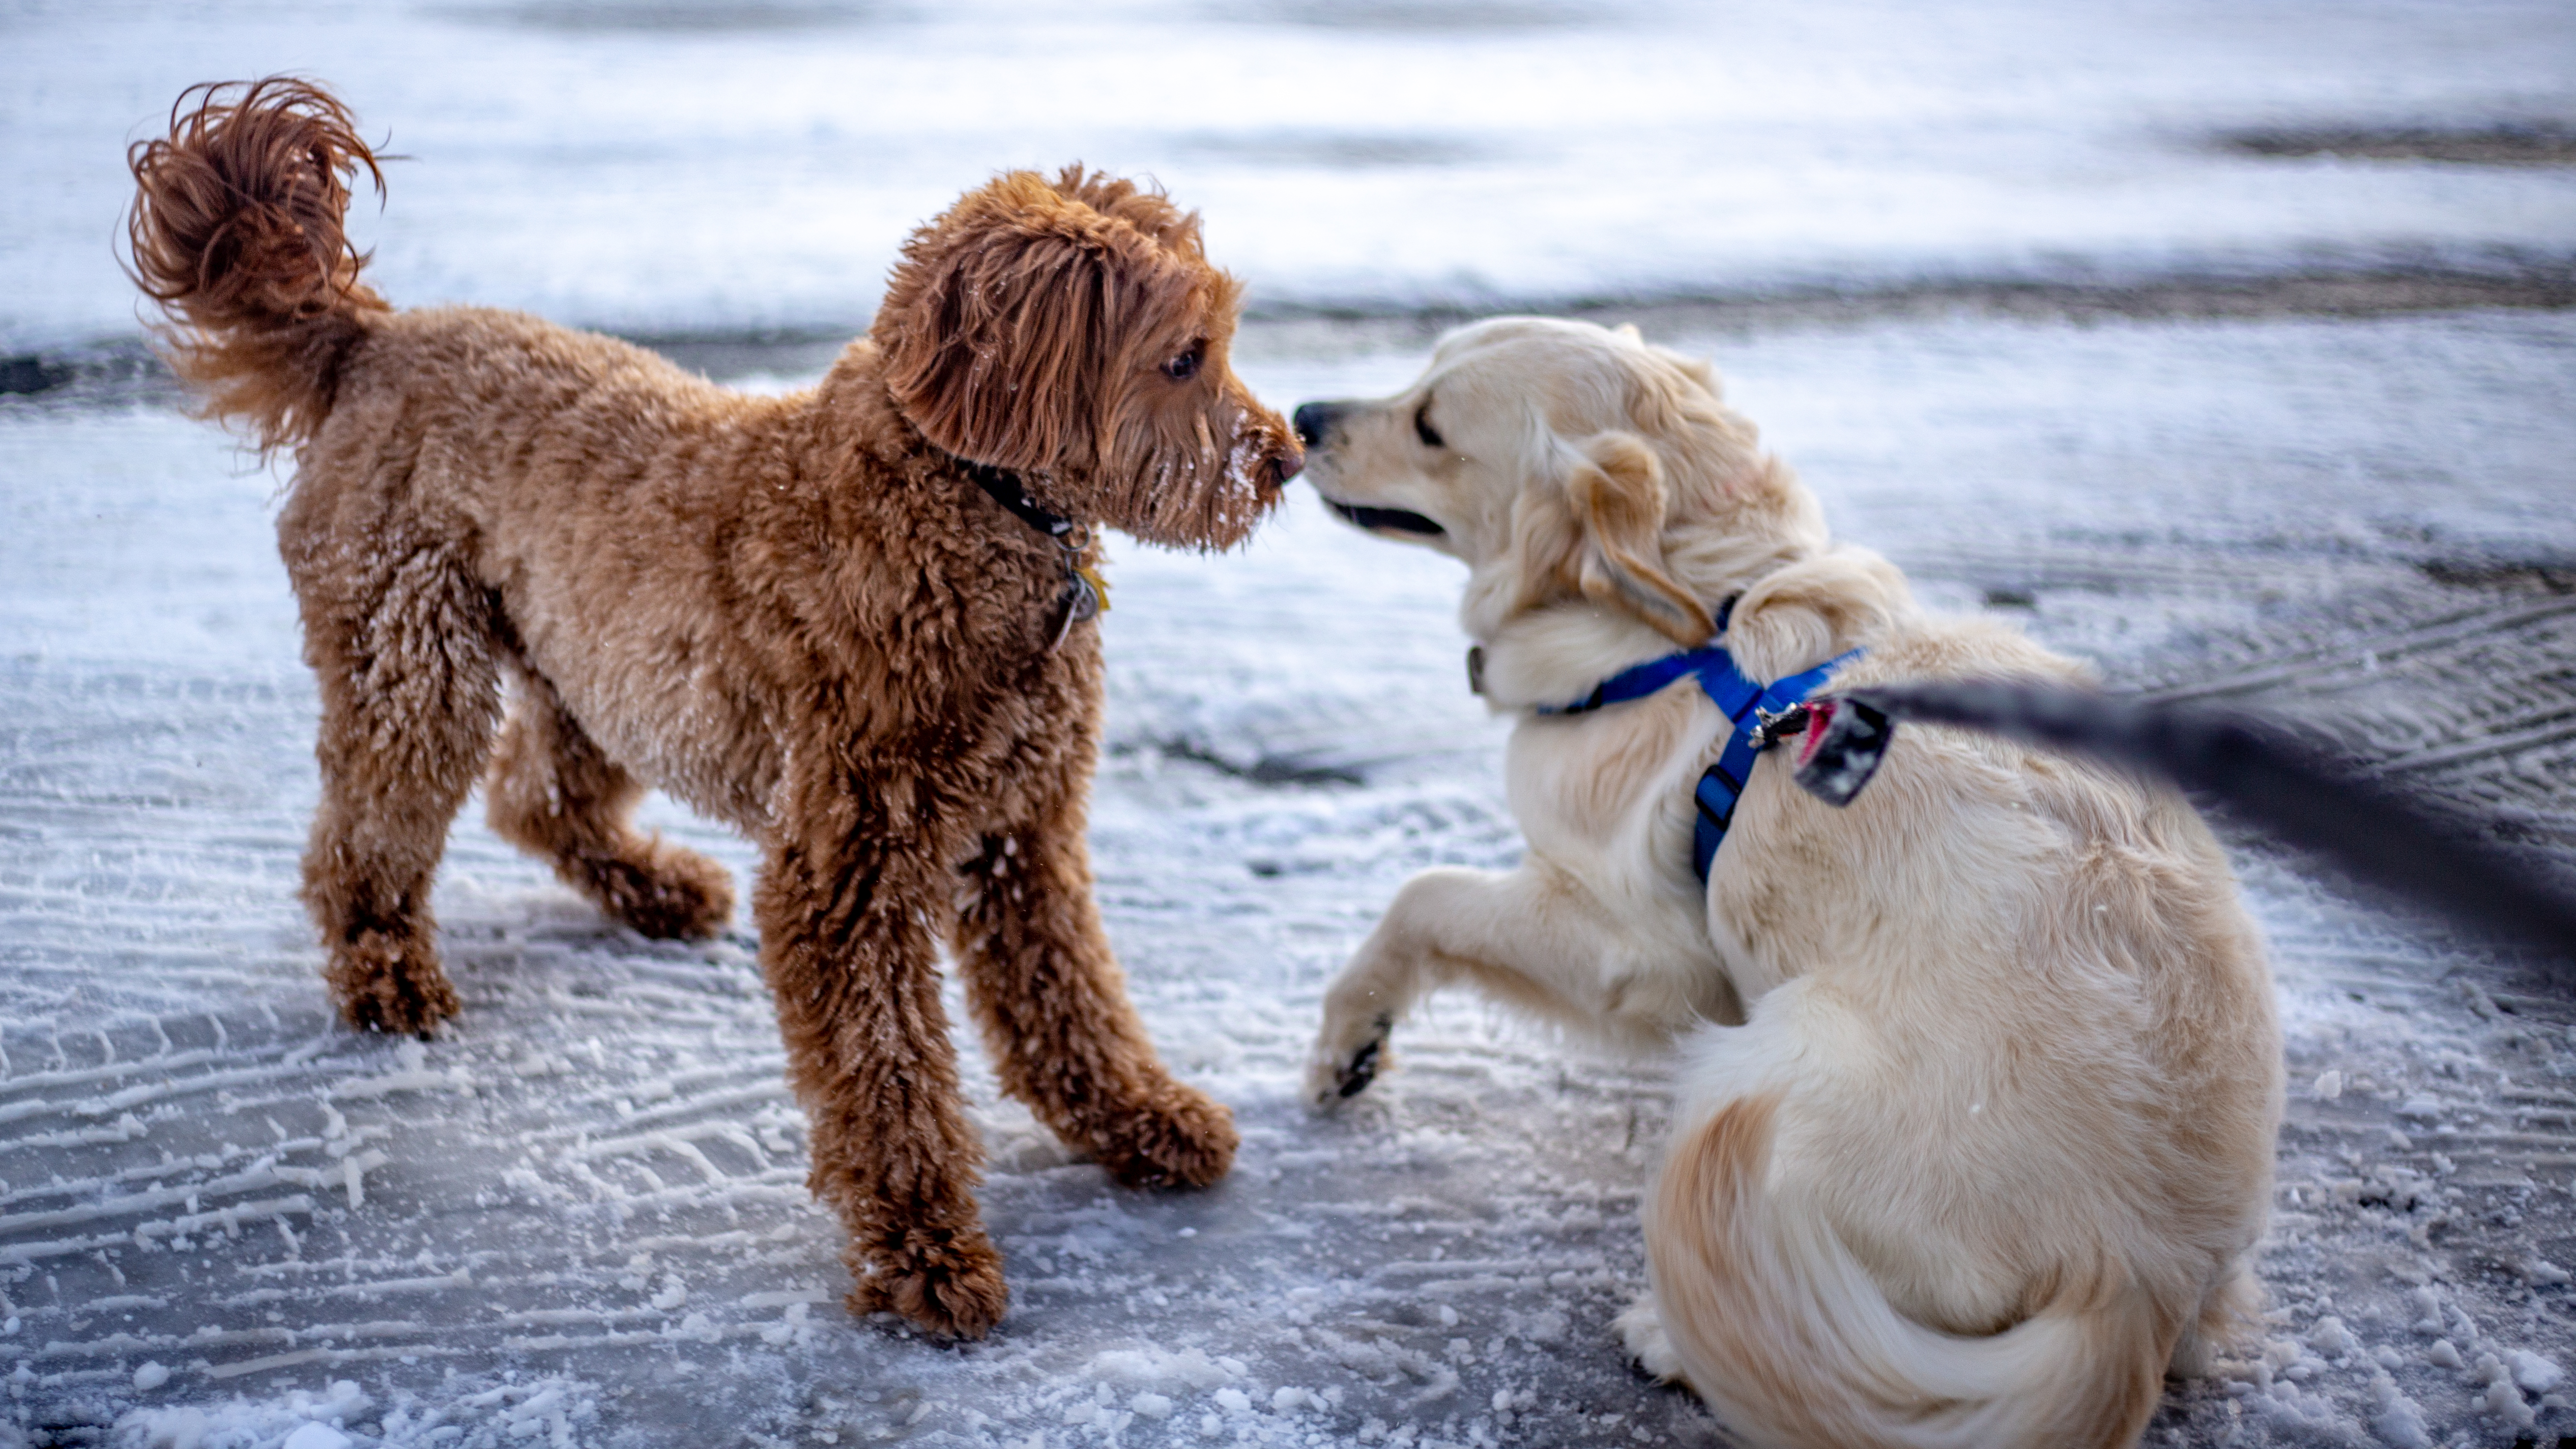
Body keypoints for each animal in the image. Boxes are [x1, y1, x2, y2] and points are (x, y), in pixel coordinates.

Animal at [128, 76, 1298, 1338]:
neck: (961, 495)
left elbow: (1066, 1000)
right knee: (367, 836)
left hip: (599, 666)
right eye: (1182, 357)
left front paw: (1138, 1120)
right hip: (412, 648)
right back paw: (386, 974)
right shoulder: (848, 861)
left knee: (537, 795)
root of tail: (374, 339)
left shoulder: (1022, 827)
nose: (1280, 459)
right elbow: (887, 1069)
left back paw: (651, 888)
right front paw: (923, 1250)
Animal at [1298, 320, 2287, 1449]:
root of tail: (2140, 1276)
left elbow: (1418, 895)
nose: (1301, 416)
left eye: (1429, 426)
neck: (1696, 614)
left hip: (1771, 1062)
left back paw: (1671, 1336)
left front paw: (1345, 1045)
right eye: (1417, 371)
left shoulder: (1630, 941)